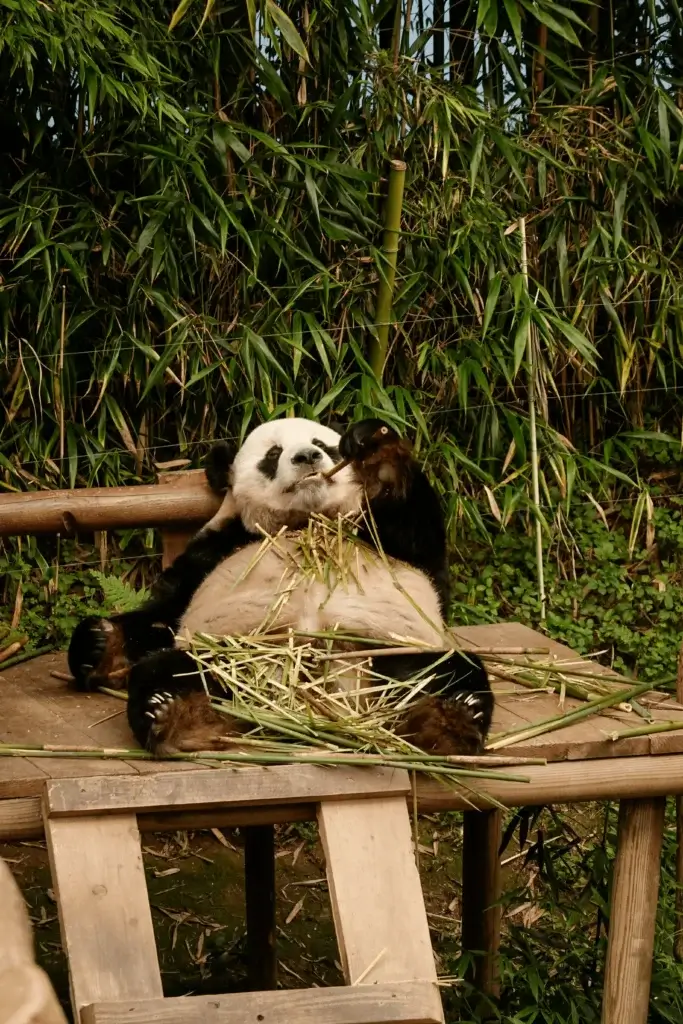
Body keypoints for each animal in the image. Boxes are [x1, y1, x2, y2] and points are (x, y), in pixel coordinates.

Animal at [67, 417, 494, 757]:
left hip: (390, 652)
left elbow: (420, 534)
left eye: (324, 444)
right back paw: (176, 716)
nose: (307, 457)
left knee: (449, 672)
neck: (304, 522)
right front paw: (100, 645)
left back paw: (451, 720)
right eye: (273, 454)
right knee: (170, 672)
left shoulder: (392, 543)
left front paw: (375, 449)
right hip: (228, 657)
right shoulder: (217, 547)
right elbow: (161, 615)